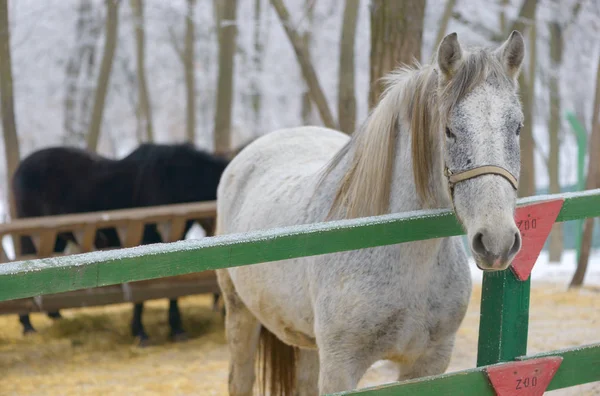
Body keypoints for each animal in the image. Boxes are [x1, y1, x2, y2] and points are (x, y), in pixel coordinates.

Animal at [11, 142, 244, 344]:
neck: (175, 181)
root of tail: (21, 166)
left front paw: (176, 328)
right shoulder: (146, 239)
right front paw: (141, 332)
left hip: (56, 236)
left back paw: (54, 315)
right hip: (31, 234)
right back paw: (27, 325)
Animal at [216, 31, 524, 396]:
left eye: (517, 128)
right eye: (450, 130)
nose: (496, 242)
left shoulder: (430, 362)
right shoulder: (340, 368)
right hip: (240, 316)